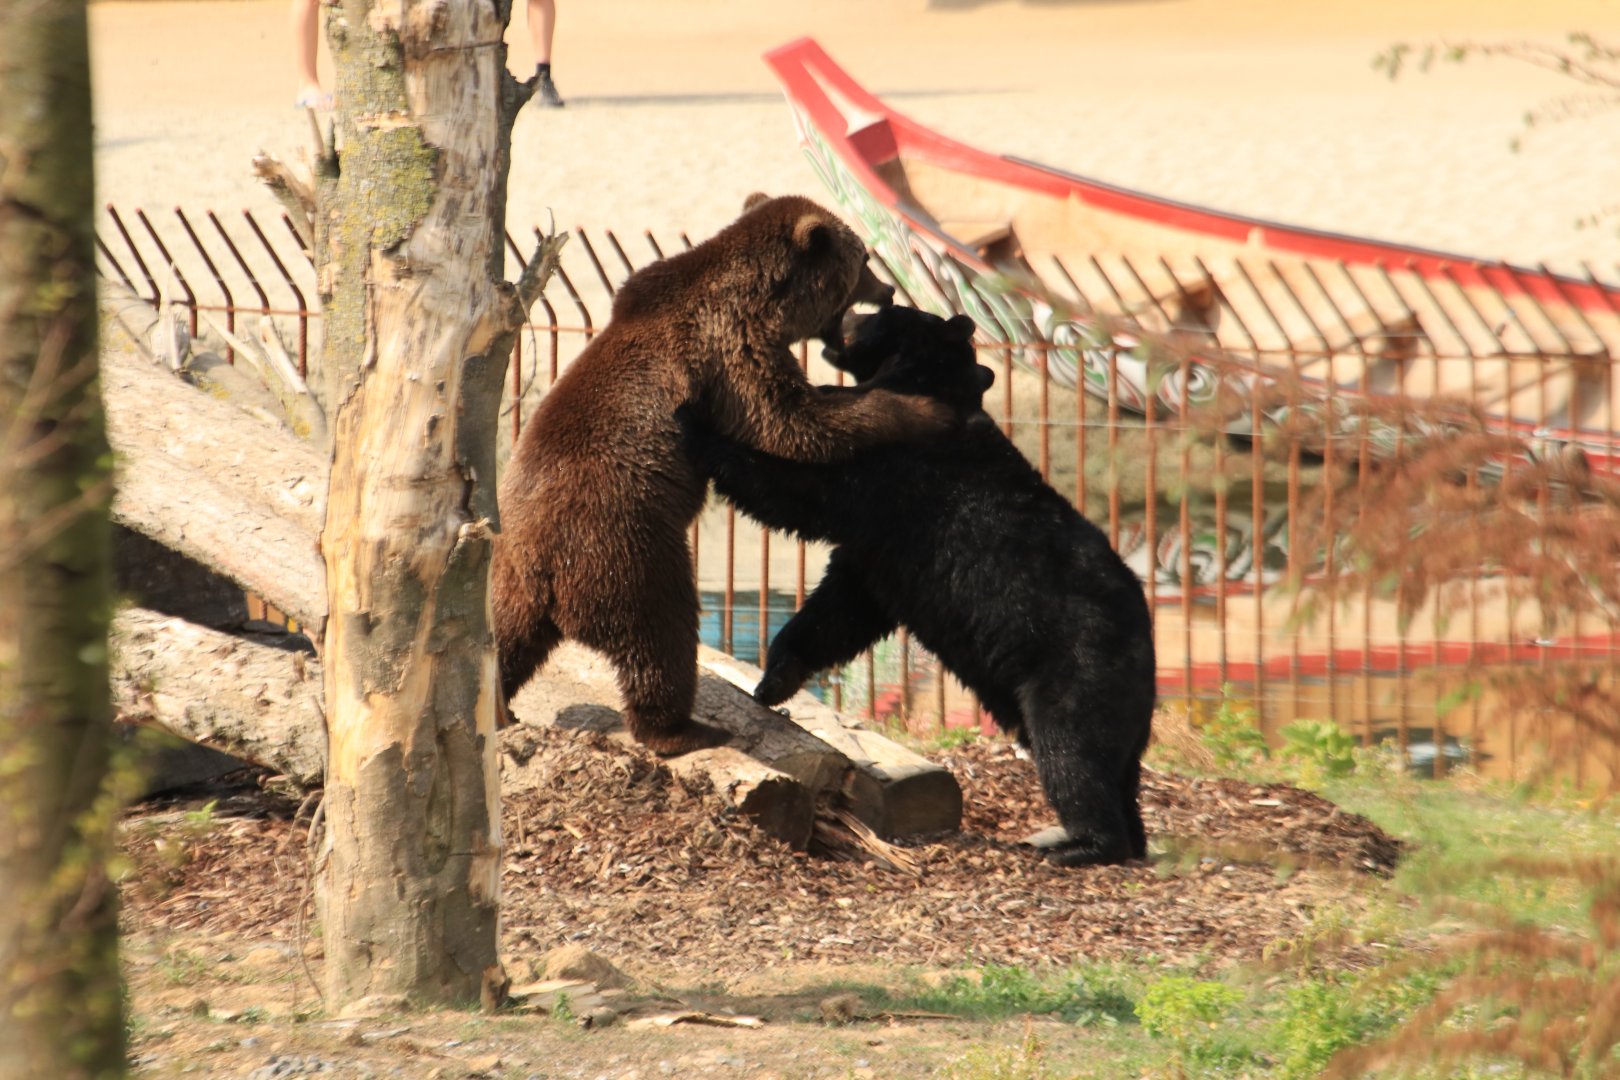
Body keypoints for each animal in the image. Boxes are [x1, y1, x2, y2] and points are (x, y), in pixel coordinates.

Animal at [492, 195, 964, 757]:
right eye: (865, 260)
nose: (888, 289)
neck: (763, 302)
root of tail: (543, 568)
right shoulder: (730, 351)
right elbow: (790, 422)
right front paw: (925, 410)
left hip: (510, 577)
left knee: (501, 641)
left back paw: (499, 708)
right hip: (624, 546)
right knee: (661, 634)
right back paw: (683, 728)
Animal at [679, 305, 1157, 866]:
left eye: (884, 311)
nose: (850, 313)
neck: (922, 384)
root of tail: (1147, 649)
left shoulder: (895, 469)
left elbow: (797, 490)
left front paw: (696, 421)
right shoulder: (884, 549)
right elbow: (842, 608)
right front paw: (775, 678)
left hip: (1073, 672)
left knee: (1071, 754)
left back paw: (1080, 845)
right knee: (1117, 773)